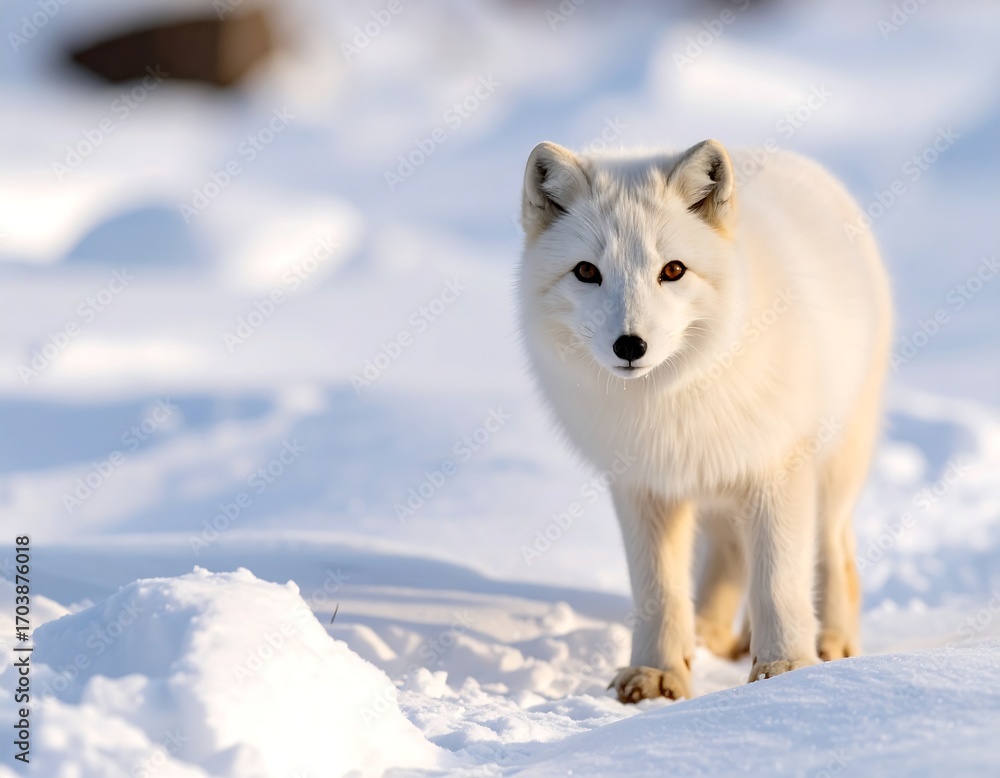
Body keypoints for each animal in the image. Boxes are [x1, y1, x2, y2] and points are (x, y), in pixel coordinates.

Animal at [517, 139, 892, 703]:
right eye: (586, 272)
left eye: (673, 270)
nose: (630, 345)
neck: (670, 400)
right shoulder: (644, 485)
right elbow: (659, 590)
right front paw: (657, 673)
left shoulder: (774, 467)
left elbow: (778, 582)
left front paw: (784, 670)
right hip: (715, 488)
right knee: (728, 554)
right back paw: (710, 636)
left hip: (828, 473)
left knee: (836, 559)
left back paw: (832, 644)